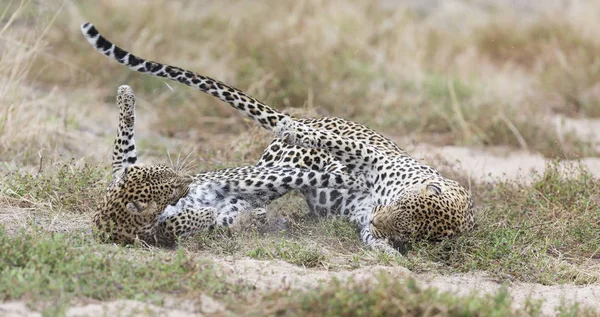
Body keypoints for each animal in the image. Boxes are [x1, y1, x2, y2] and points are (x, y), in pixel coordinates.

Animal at [96, 85, 366, 246]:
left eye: (166, 169)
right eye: (170, 189)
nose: (190, 180)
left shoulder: (121, 171)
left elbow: (122, 146)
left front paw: (125, 98)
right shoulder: (154, 235)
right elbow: (173, 226)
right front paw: (206, 214)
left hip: (254, 173)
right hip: (259, 176)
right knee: (319, 176)